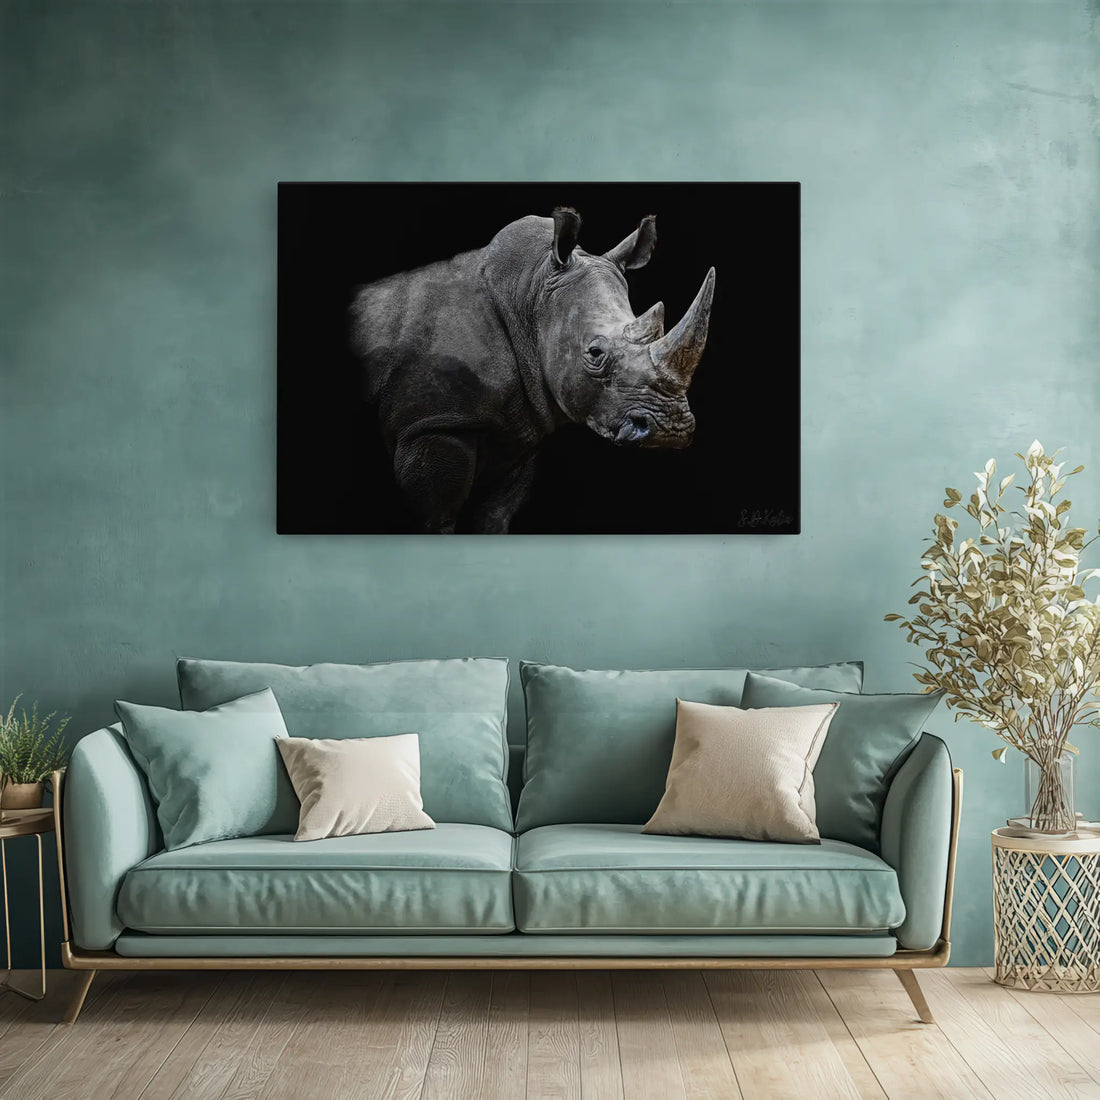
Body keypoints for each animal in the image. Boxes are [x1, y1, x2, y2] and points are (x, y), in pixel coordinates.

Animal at [349, 207, 715, 533]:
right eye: (595, 353)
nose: (670, 429)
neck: (529, 296)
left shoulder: (516, 431)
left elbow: (494, 516)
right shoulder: (434, 425)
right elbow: (437, 518)